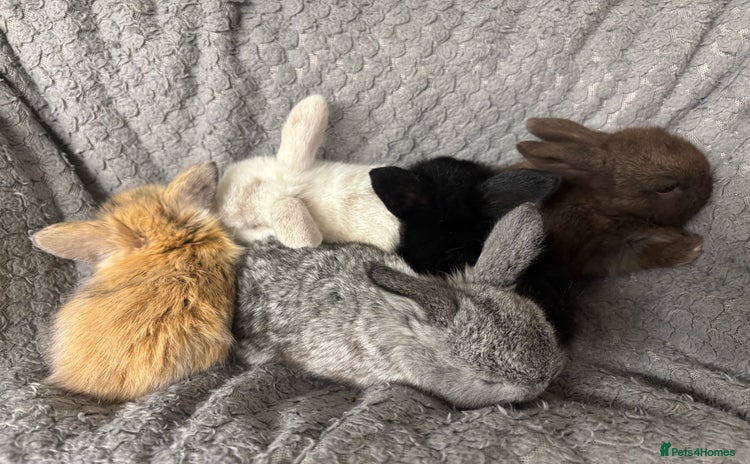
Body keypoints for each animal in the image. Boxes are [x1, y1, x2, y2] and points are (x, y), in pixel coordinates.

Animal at [514, 118, 713, 278]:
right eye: (666, 188)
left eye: (662, 134)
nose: (708, 180)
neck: (599, 208)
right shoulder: (600, 249)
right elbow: (639, 255)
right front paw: (690, 248)